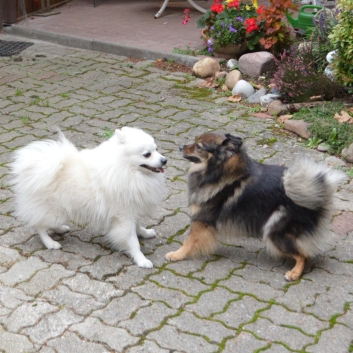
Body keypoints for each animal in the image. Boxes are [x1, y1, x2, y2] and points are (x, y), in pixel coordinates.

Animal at [9, 126, 166, 266]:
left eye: (156, 149)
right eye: (147, 154)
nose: (164, 160)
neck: (126, 169)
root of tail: (36, 167)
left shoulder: (133, 207)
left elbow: (137, 226)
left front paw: (145, 233)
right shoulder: (124, 216)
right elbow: (133, 241)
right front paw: (141, 260)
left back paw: (60, 229)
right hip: (55, 211)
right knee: (39, 226)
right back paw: (50, 243)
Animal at [165, 132, 344, 280]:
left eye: (199, 146)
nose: (180, 147)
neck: (218, 170)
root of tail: (316, 196)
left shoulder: (201, 220)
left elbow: (189, 241)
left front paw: (177, 255)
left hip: (274, 231)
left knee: (302, 255)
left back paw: (294, 273)